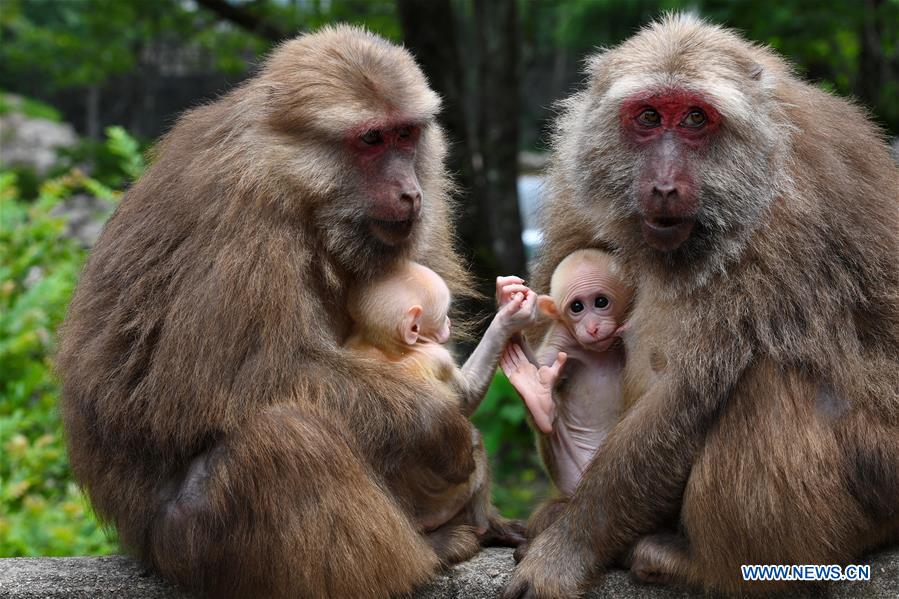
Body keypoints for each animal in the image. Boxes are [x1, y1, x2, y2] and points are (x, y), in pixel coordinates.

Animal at [57, 26, 501, 599]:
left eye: (405, 135)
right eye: (371, 140)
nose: (409, 191)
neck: (295, 183)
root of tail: (138, 542)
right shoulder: (241, 219)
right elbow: (214, 381)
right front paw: (437, 423)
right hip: (183, 544)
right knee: (282, 440)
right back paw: (428, 554)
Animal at [343, 260, 536, 538]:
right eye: (442, 313)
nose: (448, 321)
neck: (391, 346)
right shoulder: (437, 356)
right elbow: (465, 400)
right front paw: (506, 319)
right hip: (450, 500)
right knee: (476, 444)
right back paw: (485, 527)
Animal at [500, 249, 634, 497]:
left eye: (601, 302)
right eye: (577, 307)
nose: (592, 328)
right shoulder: (563, 337)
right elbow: (542, 362)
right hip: (571, 473)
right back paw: (540, 404)